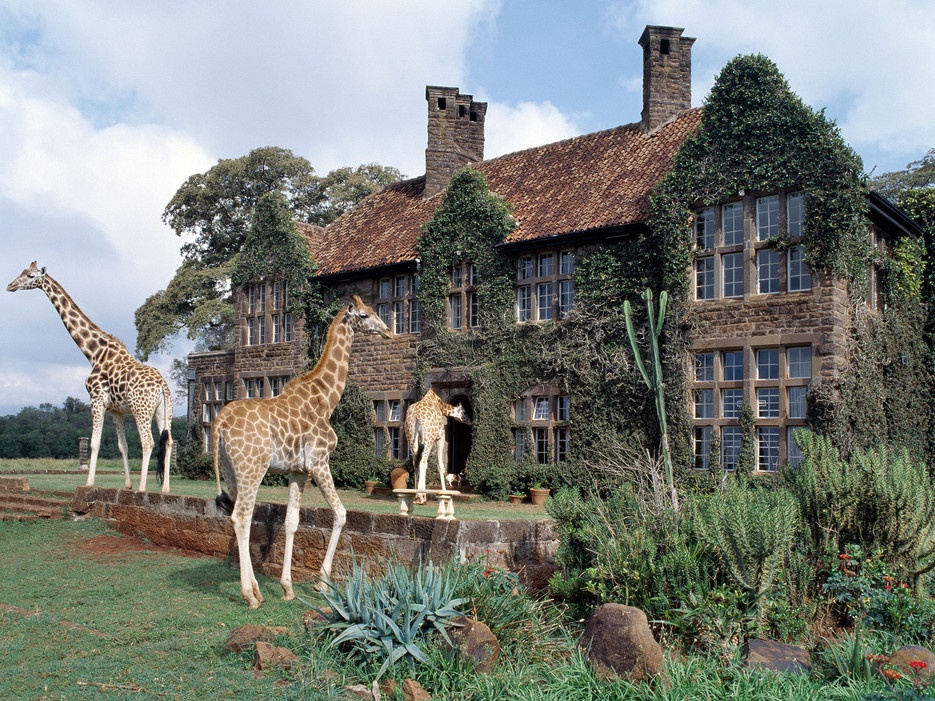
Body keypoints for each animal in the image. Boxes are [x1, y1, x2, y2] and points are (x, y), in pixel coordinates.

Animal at [7, 262, 173, 493]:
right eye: (21, 272)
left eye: (30, 276)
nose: (10, 286)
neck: (93, 352)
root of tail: (162, 385)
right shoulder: (115, 410)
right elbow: (122, 446)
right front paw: (127, 485)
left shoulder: (96, 399)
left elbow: (95, 442)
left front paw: (89, 483)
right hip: (163, 411)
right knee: (169, 442)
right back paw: (165, 489)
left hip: (141, 409)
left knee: (148, 442)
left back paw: (142, 489)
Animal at [212, 294, 390, 608]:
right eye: (365, 316)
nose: (388, 331)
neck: (326, 399)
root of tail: (219, 422)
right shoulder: (319, 461)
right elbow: (341, 514)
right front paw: (322, 582)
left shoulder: (297, 471)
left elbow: (291, 522)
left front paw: (287, 588)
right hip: (252, 468)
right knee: (241, 517)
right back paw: (250, 595)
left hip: (230, 470)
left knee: (238, 515)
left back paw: (257, 589)